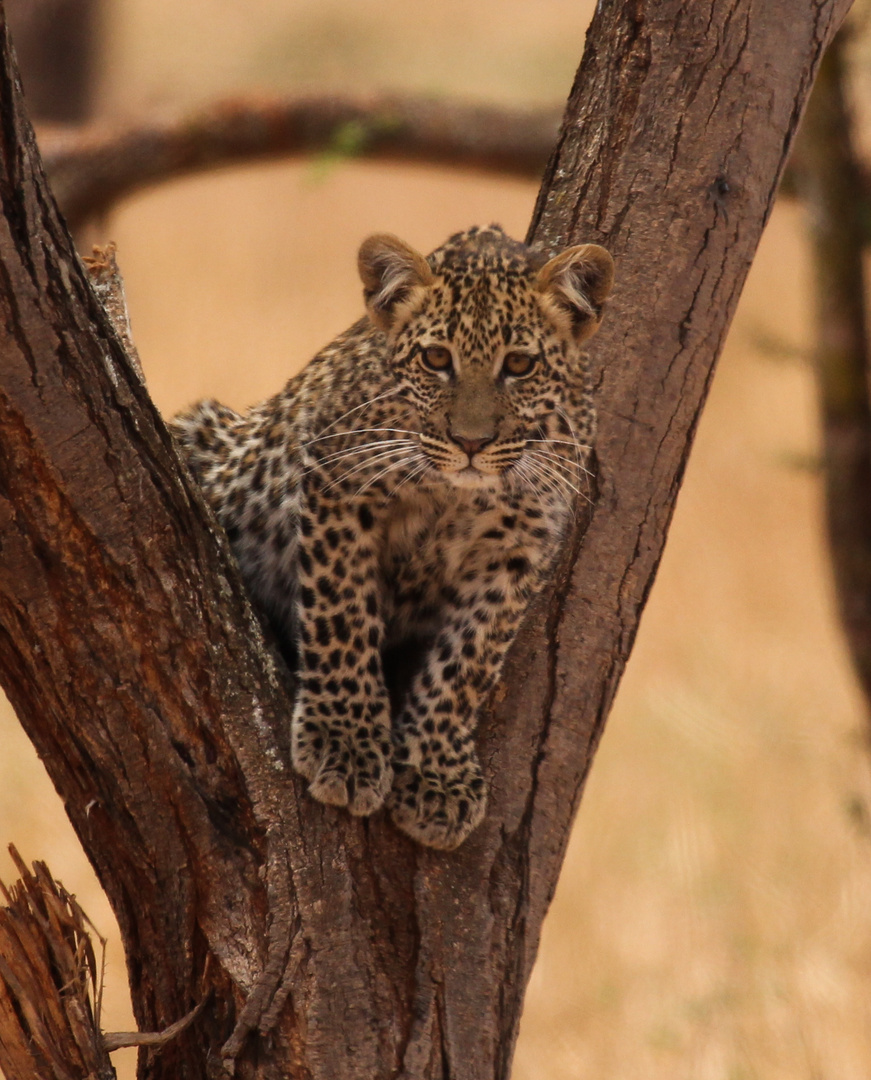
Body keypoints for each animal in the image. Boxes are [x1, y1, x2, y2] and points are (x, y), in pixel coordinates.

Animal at [171, 225, 613, 851]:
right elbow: (343, 615)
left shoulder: (519, 548)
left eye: (521, 365)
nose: (471, 442)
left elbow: (469, 660)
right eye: (436, 359)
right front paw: (346, 744)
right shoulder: (340, 483)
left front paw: (438, 778)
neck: (457, 493)